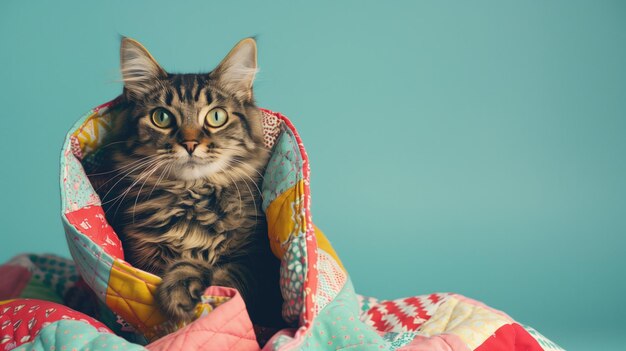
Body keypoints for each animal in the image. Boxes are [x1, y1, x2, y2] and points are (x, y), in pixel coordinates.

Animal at [91, 38, 286, 332]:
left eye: (216, 117)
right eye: (161, 117)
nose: (190, 143)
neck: (193, 197)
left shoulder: (259, 262)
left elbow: (227, 279)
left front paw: (186, 287)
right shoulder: (142, 254)